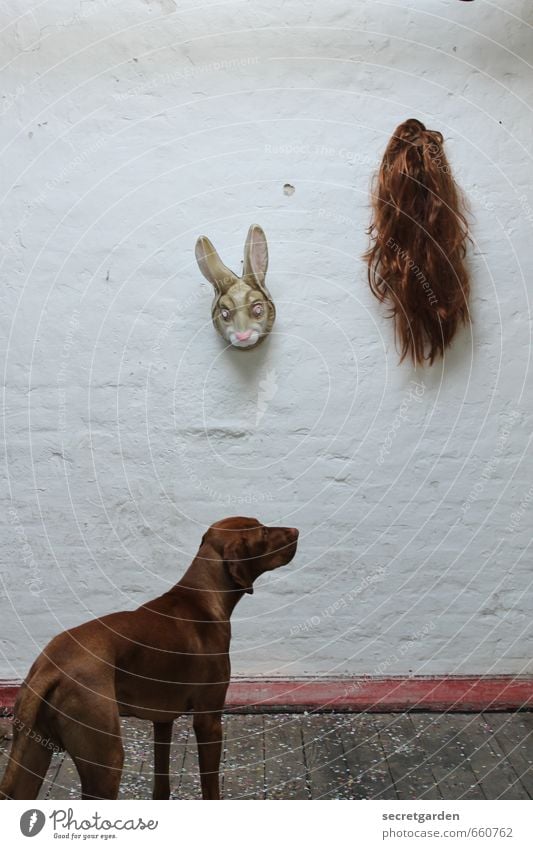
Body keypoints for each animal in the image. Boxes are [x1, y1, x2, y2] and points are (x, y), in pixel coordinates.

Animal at [0, 512, 300, 800]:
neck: (203, 596)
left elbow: (161, 784)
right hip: (106, 760)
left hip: (35, 750)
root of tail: (49, 667)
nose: (296, 531)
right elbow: (211, 790)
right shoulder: (209, 720)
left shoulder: (163, 719)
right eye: (263, 532)